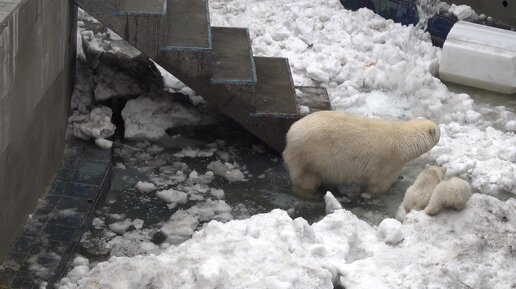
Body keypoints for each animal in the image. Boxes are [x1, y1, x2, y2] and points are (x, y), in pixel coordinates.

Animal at [282, 110, 440, 198]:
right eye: (438, 131)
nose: (441, 132)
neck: (403, 141)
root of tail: (289, 135)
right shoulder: (388, 162)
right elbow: (380, 184)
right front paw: (367, 191)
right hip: (309, 156)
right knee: (307, 179)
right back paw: (313, 194)